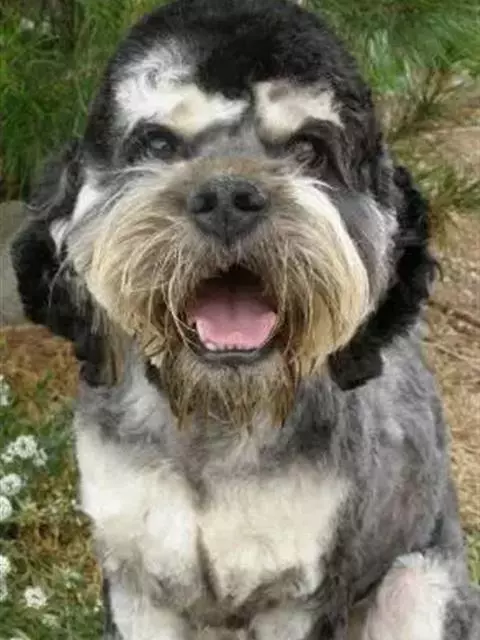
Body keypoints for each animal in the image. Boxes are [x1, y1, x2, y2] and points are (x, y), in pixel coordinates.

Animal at [11, 0, 480, 638]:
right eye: (156, 144)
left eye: (309, 149)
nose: (228, 197)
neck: (214, 414)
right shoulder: (138, 586)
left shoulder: (297, 595)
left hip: (419, 587)